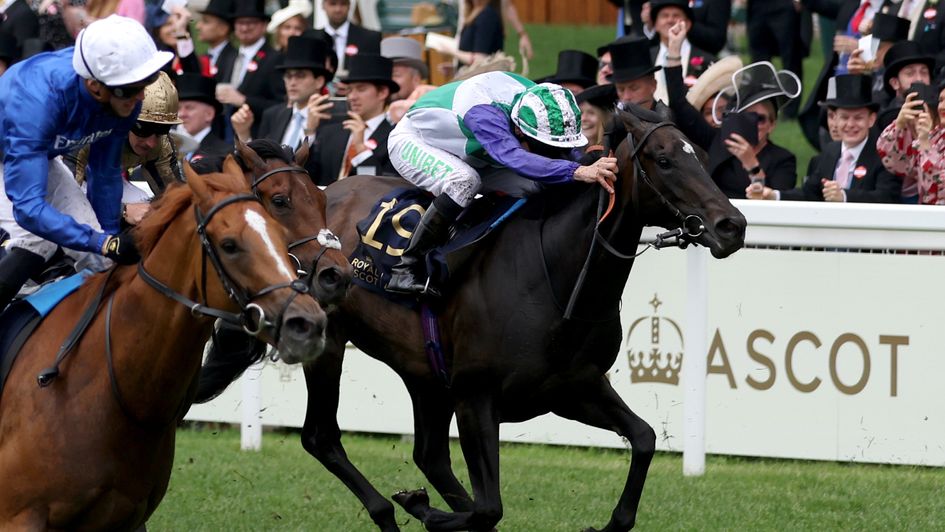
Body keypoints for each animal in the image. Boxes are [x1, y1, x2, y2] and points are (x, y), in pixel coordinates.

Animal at [197, 106, 744, 528]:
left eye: (701, 155)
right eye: (665, 160)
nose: (731, 225)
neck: (555, 274)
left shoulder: (573, 388)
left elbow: (645, 440)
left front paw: (610, 523)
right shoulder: (477, 394)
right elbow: (488, 508)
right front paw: (419, 506)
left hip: (425, 372)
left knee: (430, 455)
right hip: (330, 343)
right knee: (322, 437)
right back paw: (390, 511)